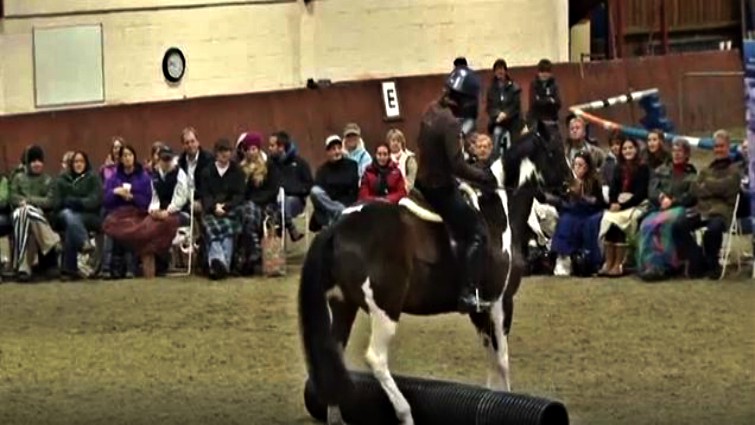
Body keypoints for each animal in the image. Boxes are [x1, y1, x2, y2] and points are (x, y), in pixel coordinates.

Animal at [298, 123, 571, 425]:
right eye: (555, 150)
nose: (571, 184)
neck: (500, 212)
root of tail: (337, 227)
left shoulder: (480, 311)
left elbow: (491, 359)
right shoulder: (501, 302)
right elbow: (502, 362)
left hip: (343, 304)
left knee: (333, 357)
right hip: (385, 309)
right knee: (376, 359)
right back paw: (405, 413)